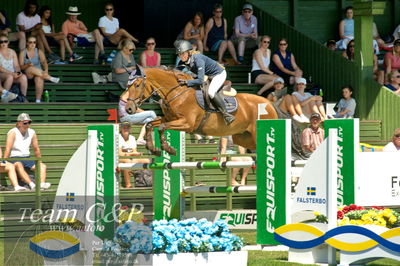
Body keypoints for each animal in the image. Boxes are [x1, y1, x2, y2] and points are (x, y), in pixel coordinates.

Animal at [126, 67, 278, 156]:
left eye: (137, 85)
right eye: (128, 86)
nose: (128, 108)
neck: (177, 92)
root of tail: (269, 104)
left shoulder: (187, 124)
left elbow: (162, 127)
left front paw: (168, 149)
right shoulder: (170, 119)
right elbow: (150, 124)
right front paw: (154, 149)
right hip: (244, 138)